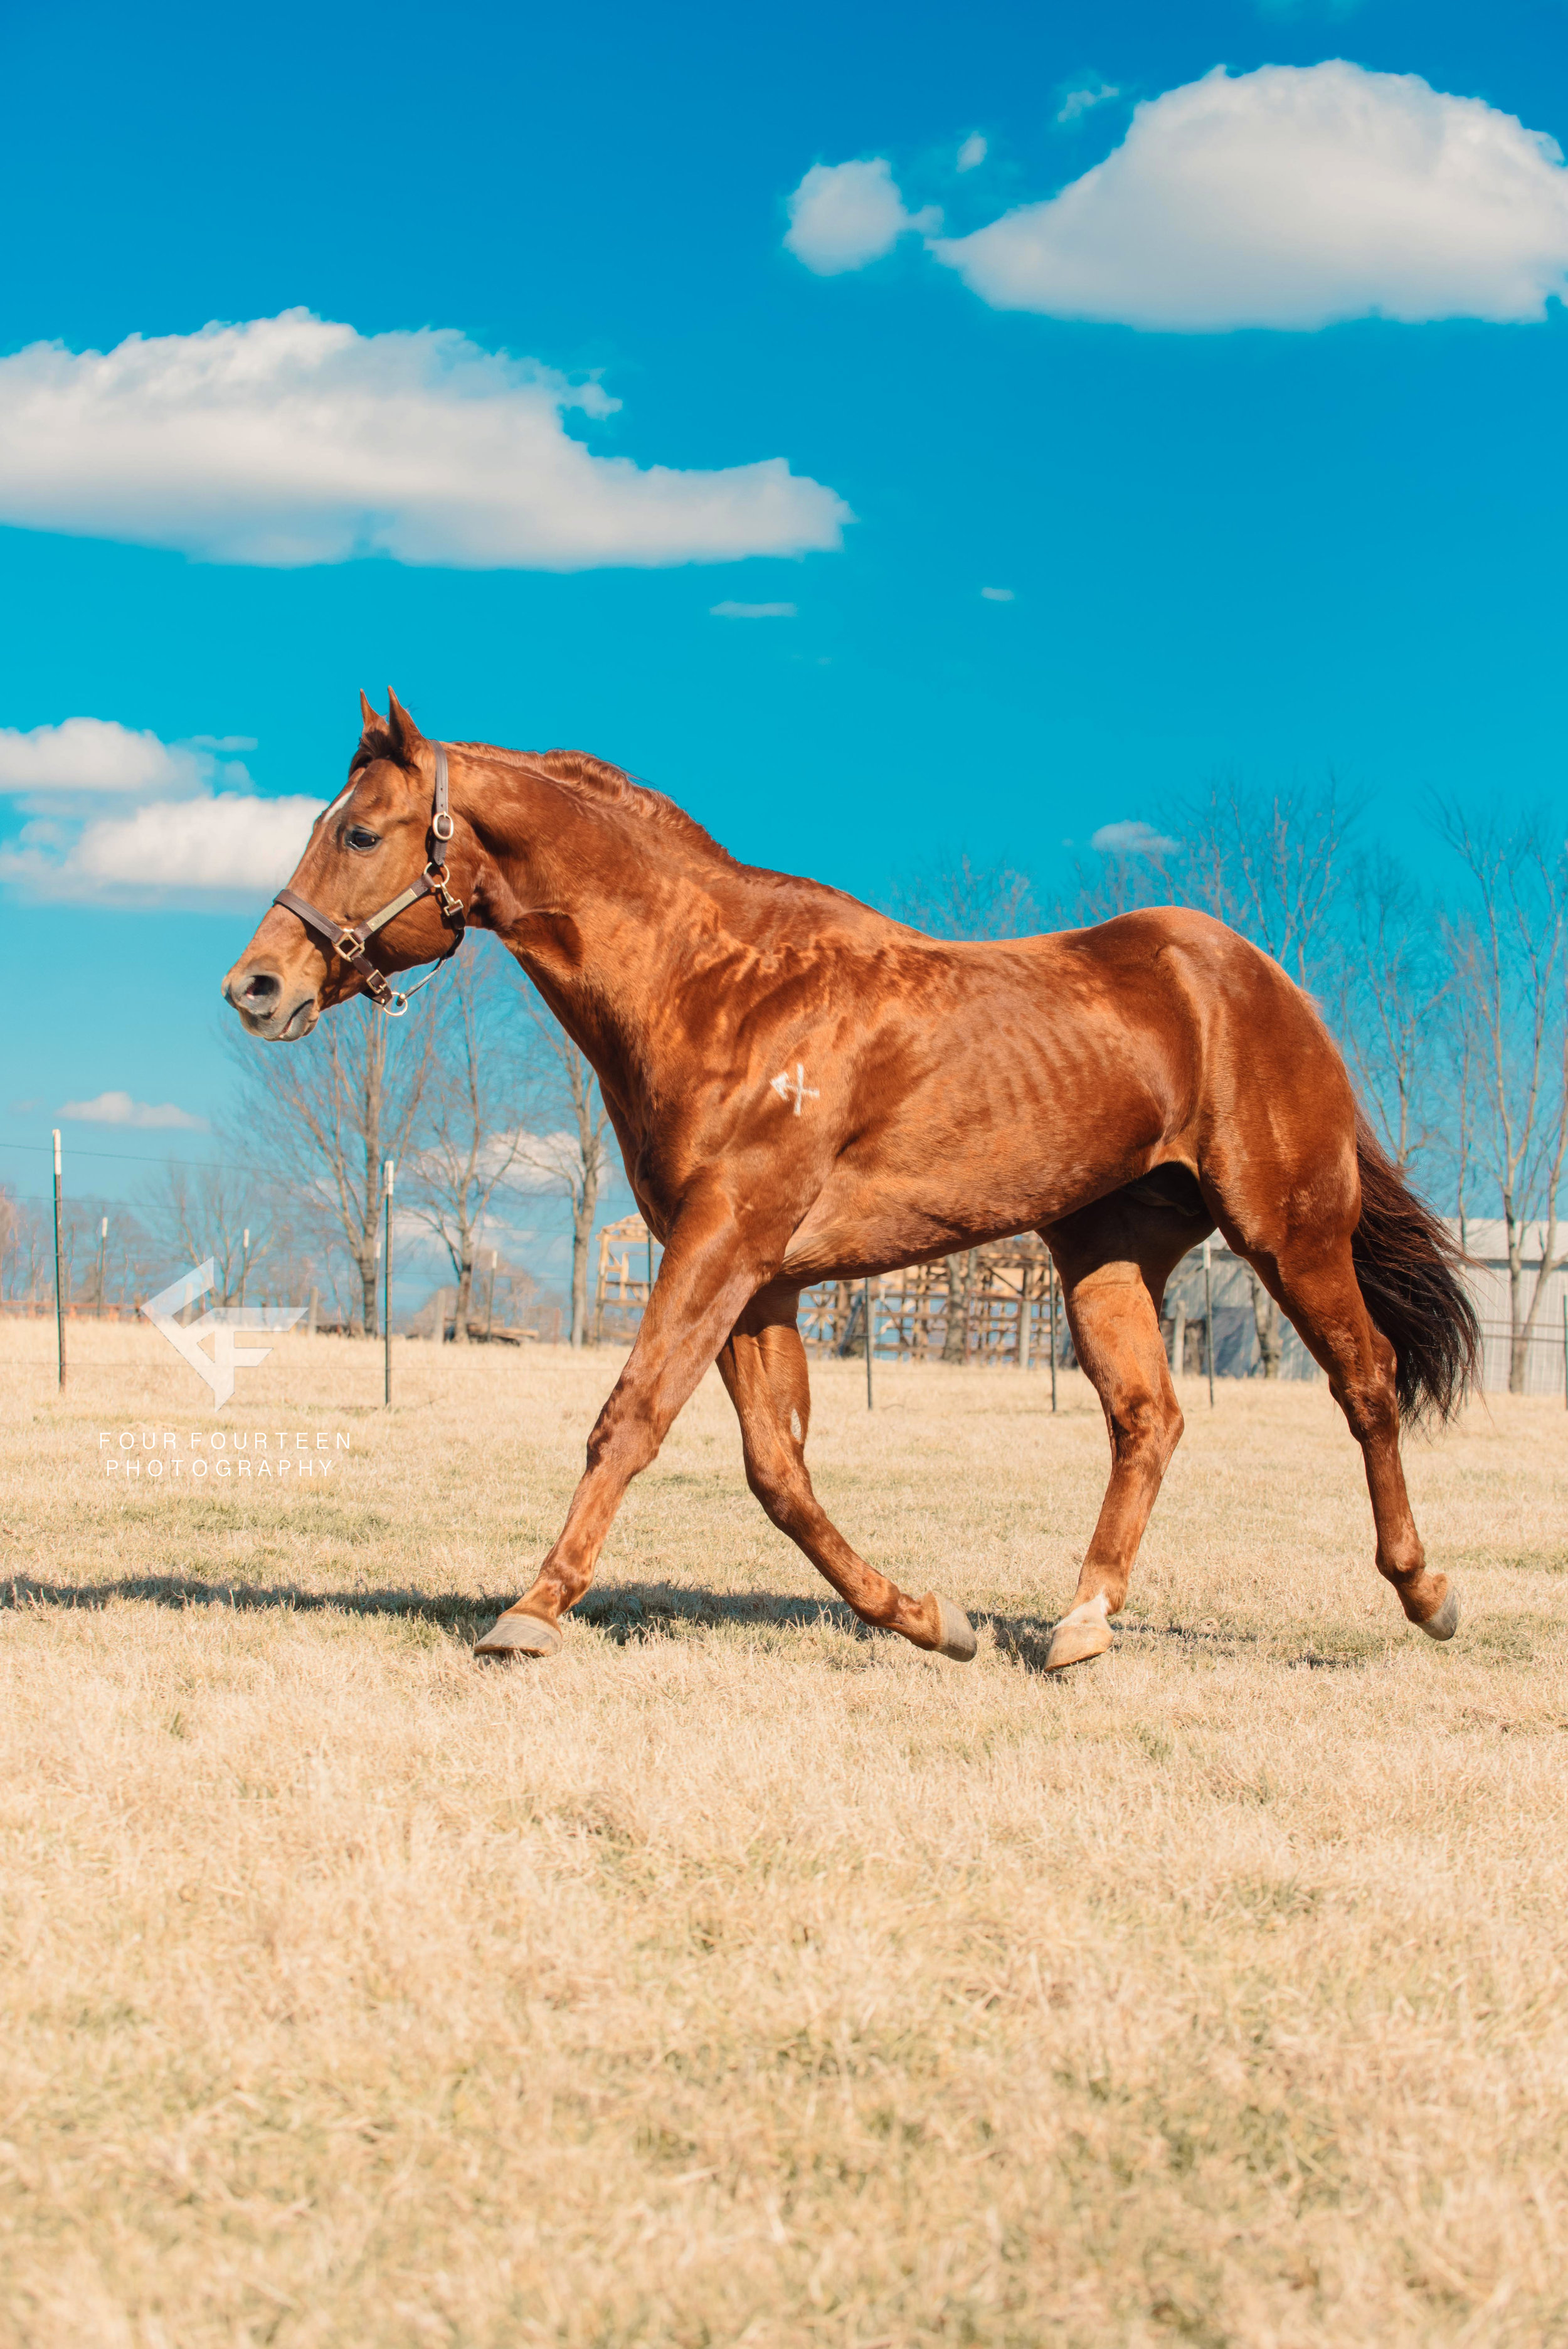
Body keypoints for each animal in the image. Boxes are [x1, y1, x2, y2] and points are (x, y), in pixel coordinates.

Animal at [222, 693, 1479, 1673]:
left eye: (362, 832)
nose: (256, 986)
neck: (718, 986)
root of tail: (1263, 980)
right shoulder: (755, 1278)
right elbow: (778, 1471)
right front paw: (930, 1619)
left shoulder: (725, 1245)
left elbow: (630, 1419)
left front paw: (531, 1612)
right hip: (1107, 1255)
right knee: (1147, 1420)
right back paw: (1080, 1625)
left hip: (1288, 1230)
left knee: (1365, 1383)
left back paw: (1425, 1592)